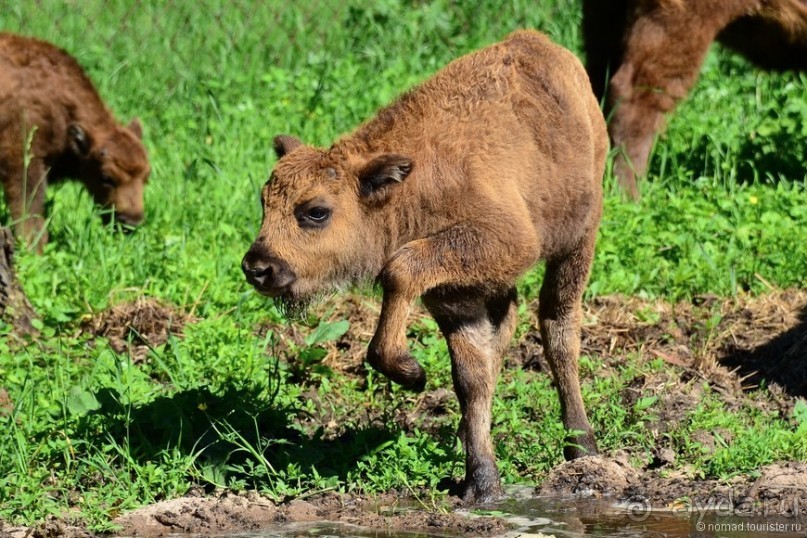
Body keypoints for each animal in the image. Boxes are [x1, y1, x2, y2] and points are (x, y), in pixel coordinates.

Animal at [0, 32, 150, 250]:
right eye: (106, 177)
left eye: (147, 177)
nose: (130, 222)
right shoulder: (22, 160)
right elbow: (29, 211)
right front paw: (33, 248)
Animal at [243, 28, 608, 498]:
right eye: (264, 203)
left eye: (316, 212)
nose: (257, 267)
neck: (407, 185)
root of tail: (547, 48)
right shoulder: (452, 294)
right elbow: (471, 374)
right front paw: (482, 481)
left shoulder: (506, 241)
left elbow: (399, 269)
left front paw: (413, 375)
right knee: (506, 326)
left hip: (578, 242)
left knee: (559, 328)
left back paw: (581, 447)